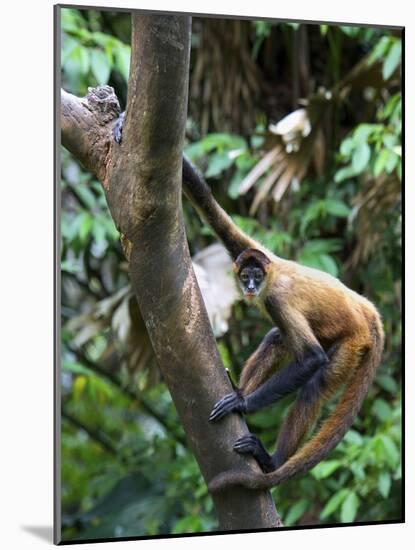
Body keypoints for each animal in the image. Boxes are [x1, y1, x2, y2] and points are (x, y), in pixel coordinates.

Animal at [112, 114, 386, 494]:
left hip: (353, 343)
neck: (273, 274)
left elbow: (312, 359)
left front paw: (243, 403)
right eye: (245, 276)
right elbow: (211, 208)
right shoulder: (253, 252)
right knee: (277, 338)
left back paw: (270, 458)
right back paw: (240, 391)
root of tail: (367, 312)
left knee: (314, 383)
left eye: (256, 277)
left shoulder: (277, 295)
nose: (252, 286)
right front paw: (121, 125)